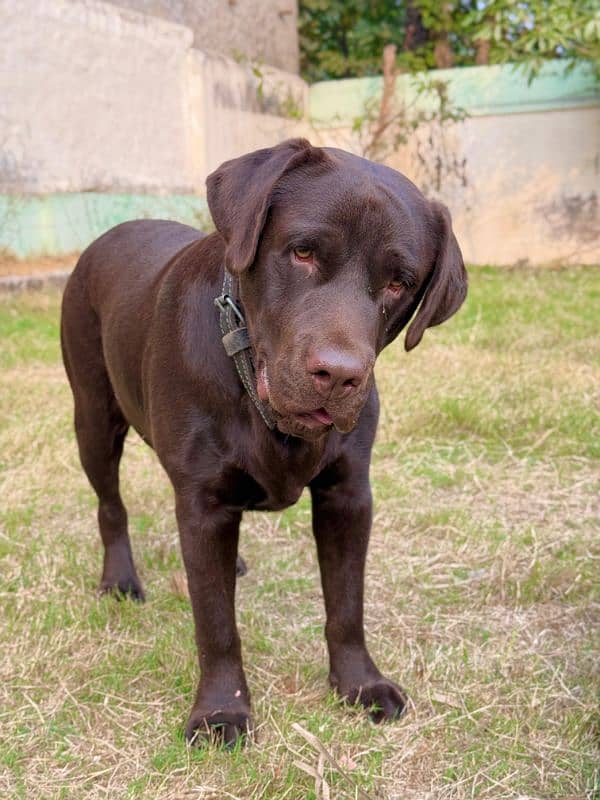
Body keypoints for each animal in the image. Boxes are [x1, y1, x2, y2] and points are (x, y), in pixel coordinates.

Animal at [61, 136, 466, 744]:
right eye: (302, 252)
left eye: (400, 282)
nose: (339, 375)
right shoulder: (202, 502)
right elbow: (216, 623)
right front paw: (220, 711)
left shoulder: (349, 496)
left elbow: (347, 605)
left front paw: (359, 683)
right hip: (93, 416)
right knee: (111, 505)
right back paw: (120, 579)